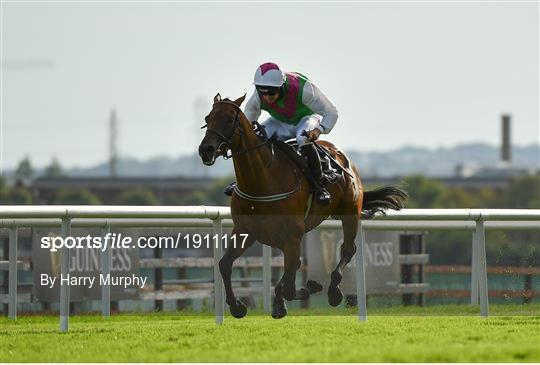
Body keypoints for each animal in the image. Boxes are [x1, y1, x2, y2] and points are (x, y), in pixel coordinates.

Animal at [198, 94, 404, 318]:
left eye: (229, 119)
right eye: (208, 118)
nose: (206, 150)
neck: (261, 181)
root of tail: (341, 156)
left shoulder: (292, 235)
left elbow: (289, 285)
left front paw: (304, 291)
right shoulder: (246, 230)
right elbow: (225, 264)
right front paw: (237, 306)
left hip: (348, 213)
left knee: (348, 249)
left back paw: (334, 292)